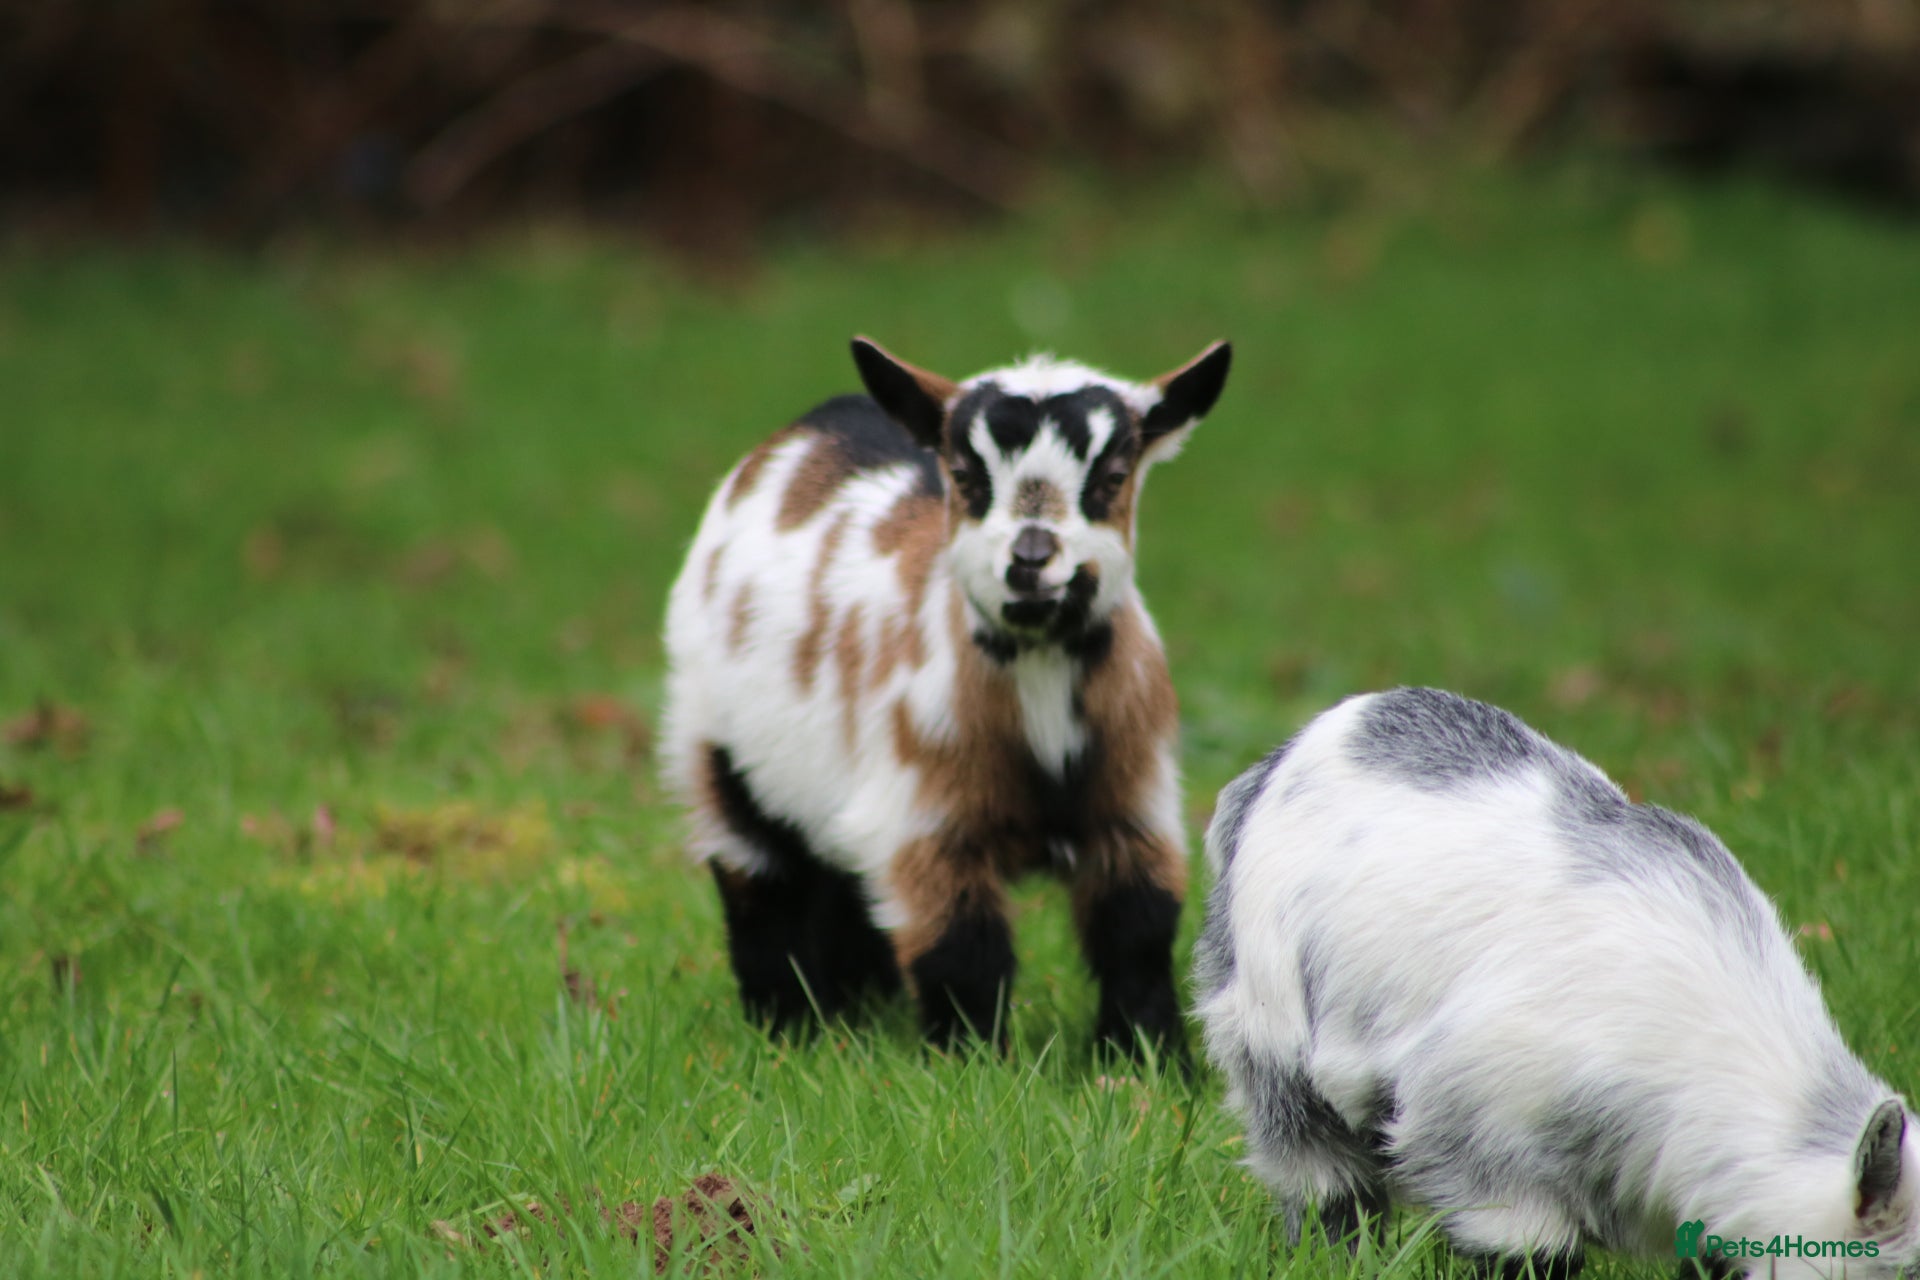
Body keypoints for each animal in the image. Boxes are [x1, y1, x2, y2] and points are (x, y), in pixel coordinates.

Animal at [661, 335, 1231, 1052]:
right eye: (966, 477)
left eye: (1112, 478)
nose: (1031, 559)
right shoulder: (926, 819)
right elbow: (963, 951)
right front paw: (974, 1059)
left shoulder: (1133, 805)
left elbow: (1138, 933)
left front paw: (1146, 1055)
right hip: (713, 747)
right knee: (762, 883)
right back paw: (788, 1027)